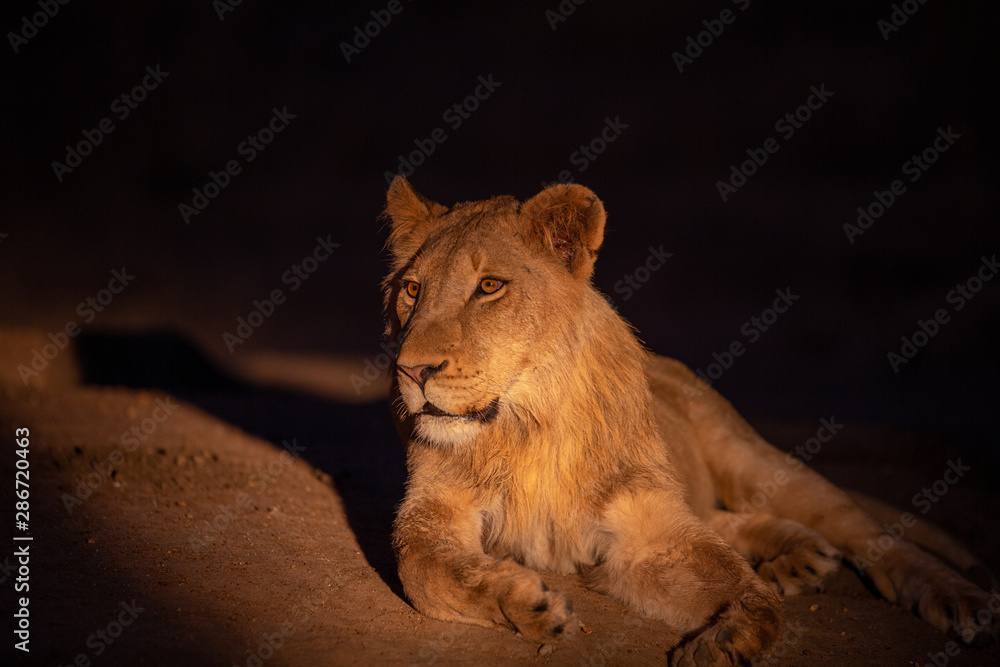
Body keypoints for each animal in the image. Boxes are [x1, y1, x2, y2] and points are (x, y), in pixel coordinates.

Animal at [381, 176, 997, 664]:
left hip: (750, 456)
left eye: (489, 287)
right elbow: (427, 571)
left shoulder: (648, 536)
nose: (412, 370)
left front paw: (725, 642)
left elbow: (751, 594)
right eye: (412, 289)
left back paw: (961, 601)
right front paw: (529, 605)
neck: (526, 426)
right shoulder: (435, 513)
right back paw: (801, 556)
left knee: (872, 535)